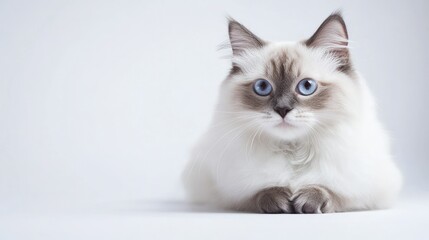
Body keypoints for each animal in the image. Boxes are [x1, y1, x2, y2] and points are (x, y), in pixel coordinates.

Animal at [181, 12, 402, 213]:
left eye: (306, 86)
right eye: (262, 87)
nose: (282, 109)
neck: (293, 151)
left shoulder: (371, 192)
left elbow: (333, 192)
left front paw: (308, 200)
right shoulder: (227, 193)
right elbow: (259, 192)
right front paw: (279, 201)